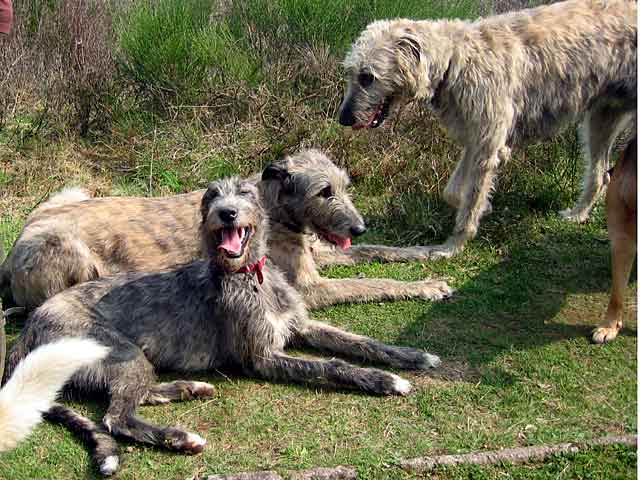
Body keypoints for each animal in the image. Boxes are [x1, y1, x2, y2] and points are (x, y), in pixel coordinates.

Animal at [1, 149, 450, 312]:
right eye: (324, 192)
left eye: (344, 186)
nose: (358, 225)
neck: (271, 206)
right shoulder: (308, 286)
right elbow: (371, 282)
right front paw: (427, 286)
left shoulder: (318, 249)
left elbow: (380, 251)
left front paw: (432, 253)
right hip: (65, 246)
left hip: (68, 193)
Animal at [5, 174, 442, 474]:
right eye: (212, 196)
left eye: (245, 194)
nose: (226, 213)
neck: (251, 277)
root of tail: (27, 332)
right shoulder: (263, 357)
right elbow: (330, 366)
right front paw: (386, 381)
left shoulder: (300, 324)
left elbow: (357, 341)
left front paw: (410, 358)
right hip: (116, 350)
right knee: (116, 417)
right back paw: (180, 437)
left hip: (131, 361)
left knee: (134, 395)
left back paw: (189, 388)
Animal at [338, 0, 636, 258]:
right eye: (351, 72)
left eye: (367, 77)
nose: (343, 119)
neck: (456, 61)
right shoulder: (474, 140)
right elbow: (454, 192)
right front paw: (485, 206)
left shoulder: (486, 145)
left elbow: (471, 200)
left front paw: (452, 246)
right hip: (601, 119)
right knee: (600, 175)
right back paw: (577, 214)